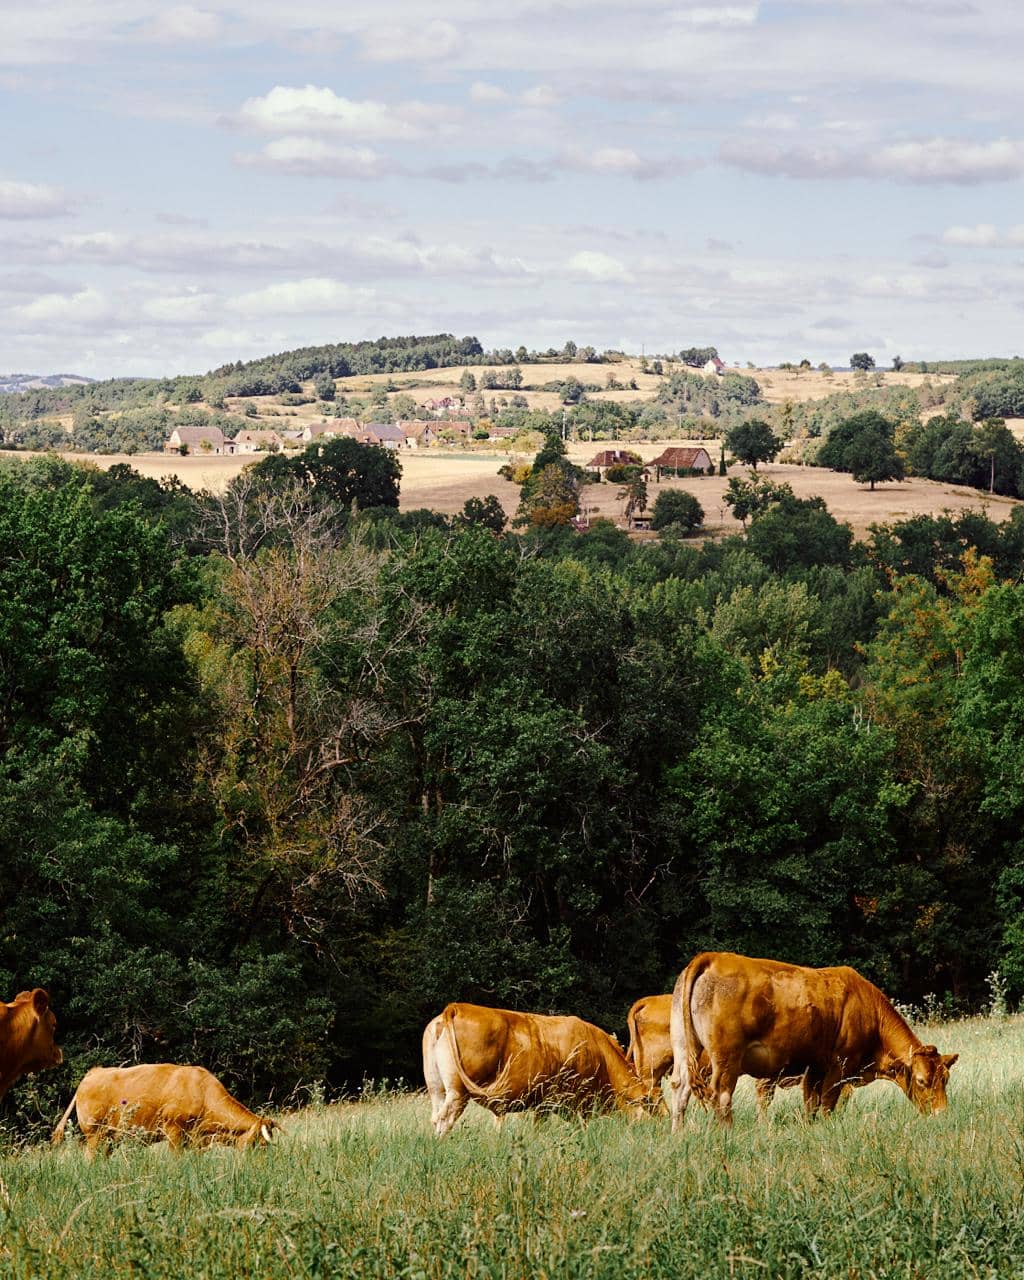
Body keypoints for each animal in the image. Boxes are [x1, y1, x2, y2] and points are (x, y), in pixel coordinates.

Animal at [51, 1064, 277, 1157]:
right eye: (259, 1144)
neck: (202, 1091)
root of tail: (93, 1072)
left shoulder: (196, 1140)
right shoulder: (174, 1131)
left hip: (109, 1139)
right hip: (94, 1134)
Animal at [422, 1002, 652, 1138]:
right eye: (651, 1105)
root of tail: (456, 1007)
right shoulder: (553, 1101)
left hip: (436, 1088)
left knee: (435, 1117)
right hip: (458, 1092)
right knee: (444, 1119)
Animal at [669, 952, 958, 1129]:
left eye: (945, 1079)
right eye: (921, 1081)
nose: (941, 1114)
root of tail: (713, 957)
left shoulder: (814, 1068)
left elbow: (811, 1105)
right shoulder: (839, 1067)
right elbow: (828, 1104)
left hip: (684, 1050)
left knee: (680, 1088)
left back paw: (678, 1133)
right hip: (726, 1058)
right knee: (720, 1094)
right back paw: (727, 1132)